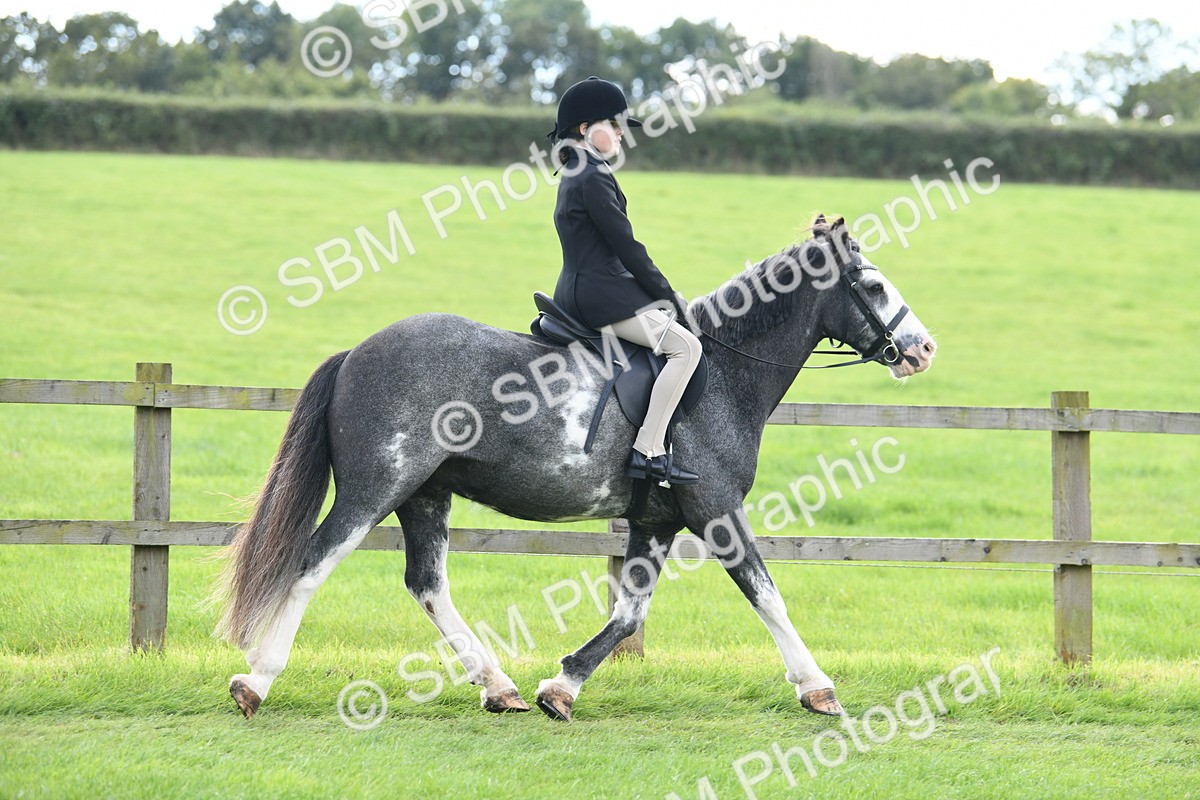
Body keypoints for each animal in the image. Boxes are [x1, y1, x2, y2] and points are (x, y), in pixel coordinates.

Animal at [215, 215, 937, 722]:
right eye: (873, 286)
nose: (923, 348)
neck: (724, 370)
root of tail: (357, 353)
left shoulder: (656, 521)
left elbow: (629, 614)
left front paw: (560, 687)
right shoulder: (716, 510)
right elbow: (767, 594)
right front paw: (819, 689)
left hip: (425, 494)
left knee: (427, 585)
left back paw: (498, 686)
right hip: (376, 489)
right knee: (313, 563)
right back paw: (256, 680)